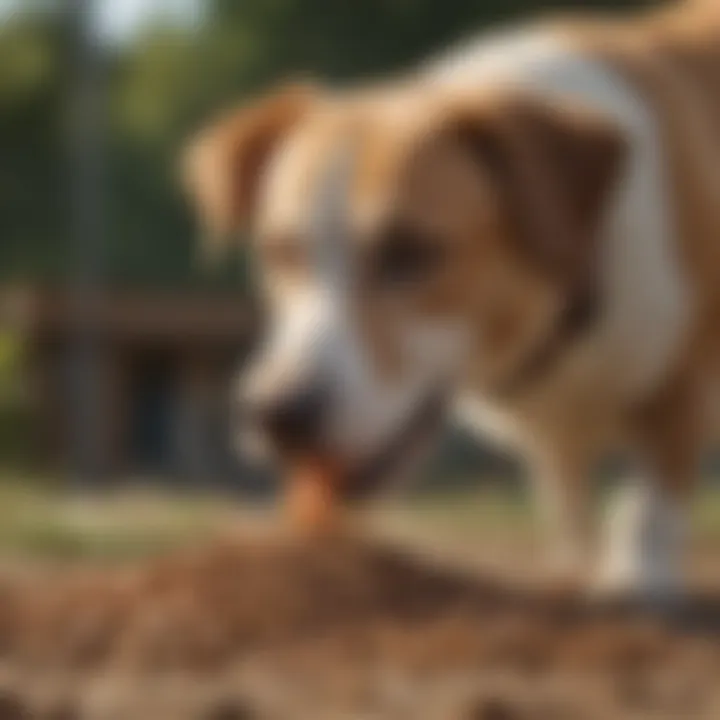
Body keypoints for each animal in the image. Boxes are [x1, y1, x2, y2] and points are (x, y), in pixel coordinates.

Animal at [181, 1, 720, 600]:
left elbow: (648, 508)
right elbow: (569, 506)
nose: (278, 415)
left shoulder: (678, 392)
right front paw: (577, 569)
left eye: (410, 251)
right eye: (279, 250)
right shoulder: (556, 442)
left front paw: (639, 579)